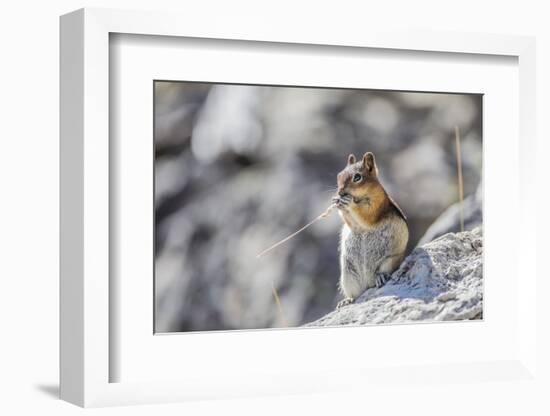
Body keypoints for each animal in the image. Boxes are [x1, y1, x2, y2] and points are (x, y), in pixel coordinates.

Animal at [332, 153, 410, 308]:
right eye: (339, 175)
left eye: (357, 177)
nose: (340, 192)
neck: (358, 197)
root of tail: (368, 284)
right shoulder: (350, 221)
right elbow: (348, 221)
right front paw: (338, 202)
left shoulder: (377, 204)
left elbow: (366, 215)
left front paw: (348, 203)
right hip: (348, 276)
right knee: (355, 294)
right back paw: (347, 301)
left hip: (389, 261)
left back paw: (380, 277)